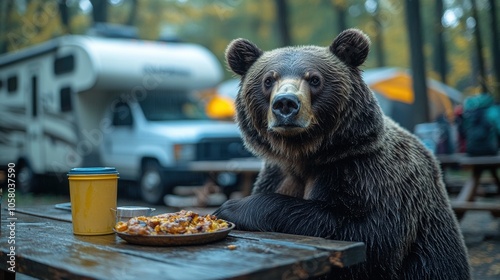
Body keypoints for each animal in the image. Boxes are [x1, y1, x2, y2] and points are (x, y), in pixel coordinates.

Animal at [214, 29, 468, 280]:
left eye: (314, 79)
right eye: (268, 80)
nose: (285, 103)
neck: (304, 155)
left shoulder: (367, 174)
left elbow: (368, 234)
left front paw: (230, 207)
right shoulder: (277, 174)